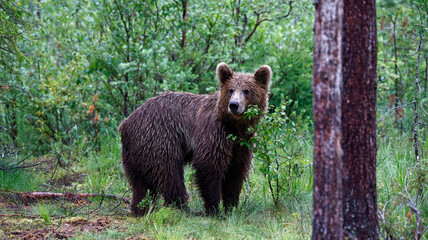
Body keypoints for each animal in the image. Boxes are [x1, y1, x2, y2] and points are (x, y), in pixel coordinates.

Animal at [118, 62, 270, 216]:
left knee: (141, 184)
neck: (235, 126)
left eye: (246, 90)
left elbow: (236, 170)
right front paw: (214, 208)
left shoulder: (242, 142)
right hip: (160, 139)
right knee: (170, 174)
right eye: (231, 90)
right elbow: (209, 165)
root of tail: (125, 123)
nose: (234, 105)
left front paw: (231, 206)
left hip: (137, 153)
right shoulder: (214, 133)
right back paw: (181, 207)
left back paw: (140, 209)